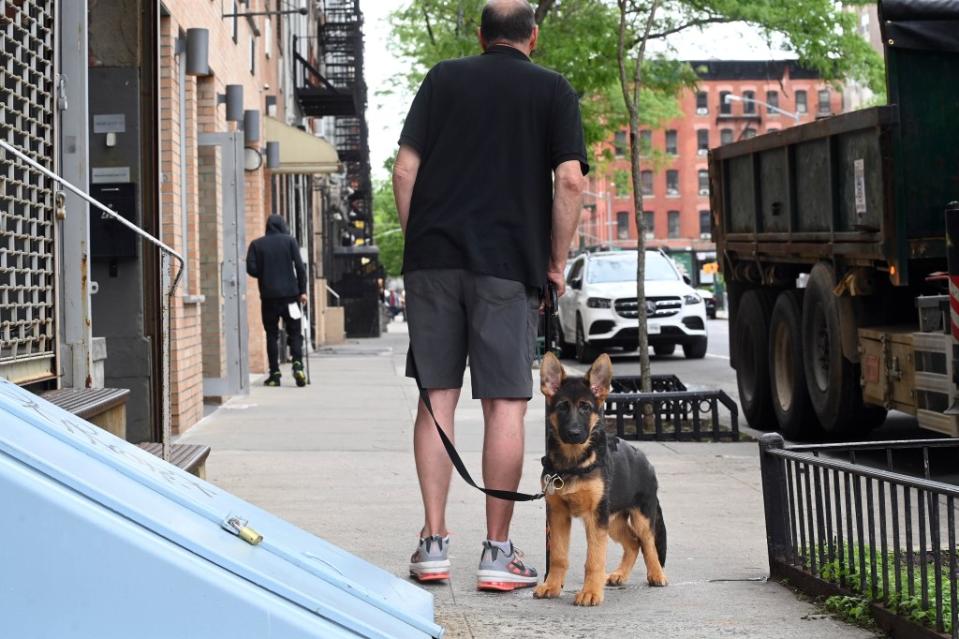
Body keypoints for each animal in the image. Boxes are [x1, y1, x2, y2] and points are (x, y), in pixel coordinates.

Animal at [532, 352, 668, 608]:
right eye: (562, 407)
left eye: (585, 407)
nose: (574, 433)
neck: (574, 463)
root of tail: (646, 460)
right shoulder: (558, 514)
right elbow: (558, 556)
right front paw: (552, 586)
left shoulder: (595, 518)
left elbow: (594, 559)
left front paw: (590, 593)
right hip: (613, 520)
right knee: (633, 543)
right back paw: (619, 575)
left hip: (639, 516)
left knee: (647, 542)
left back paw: (657, 574)